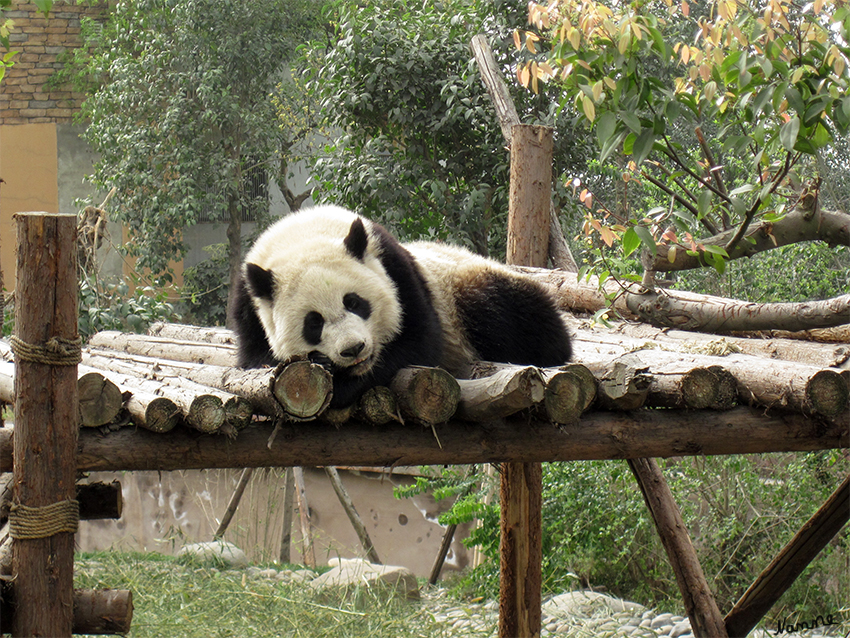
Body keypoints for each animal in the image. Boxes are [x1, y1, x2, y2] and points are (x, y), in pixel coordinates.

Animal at [230, 208, 568, 412]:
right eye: (313, 323)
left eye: (354, 302)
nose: (353, 349)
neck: (301, 233)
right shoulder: (248, 306)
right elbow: (255, 361)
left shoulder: (395, 267)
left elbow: (418, 341)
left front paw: (340, 384)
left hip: (466, 286)